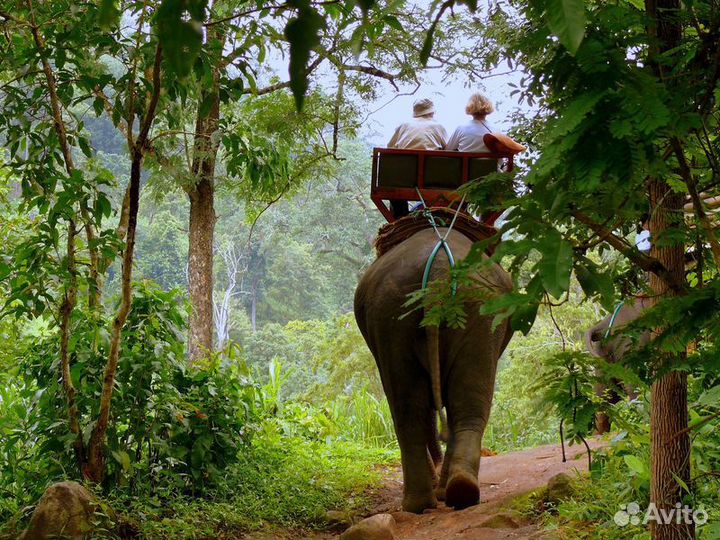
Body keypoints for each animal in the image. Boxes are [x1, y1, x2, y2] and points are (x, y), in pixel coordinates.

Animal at [352, 229, 512, 516]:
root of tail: (439, 267)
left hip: (400, 312)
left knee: (413, 408)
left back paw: (433, 499)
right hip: (469, 309)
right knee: (458, 406)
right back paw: (451, 494)